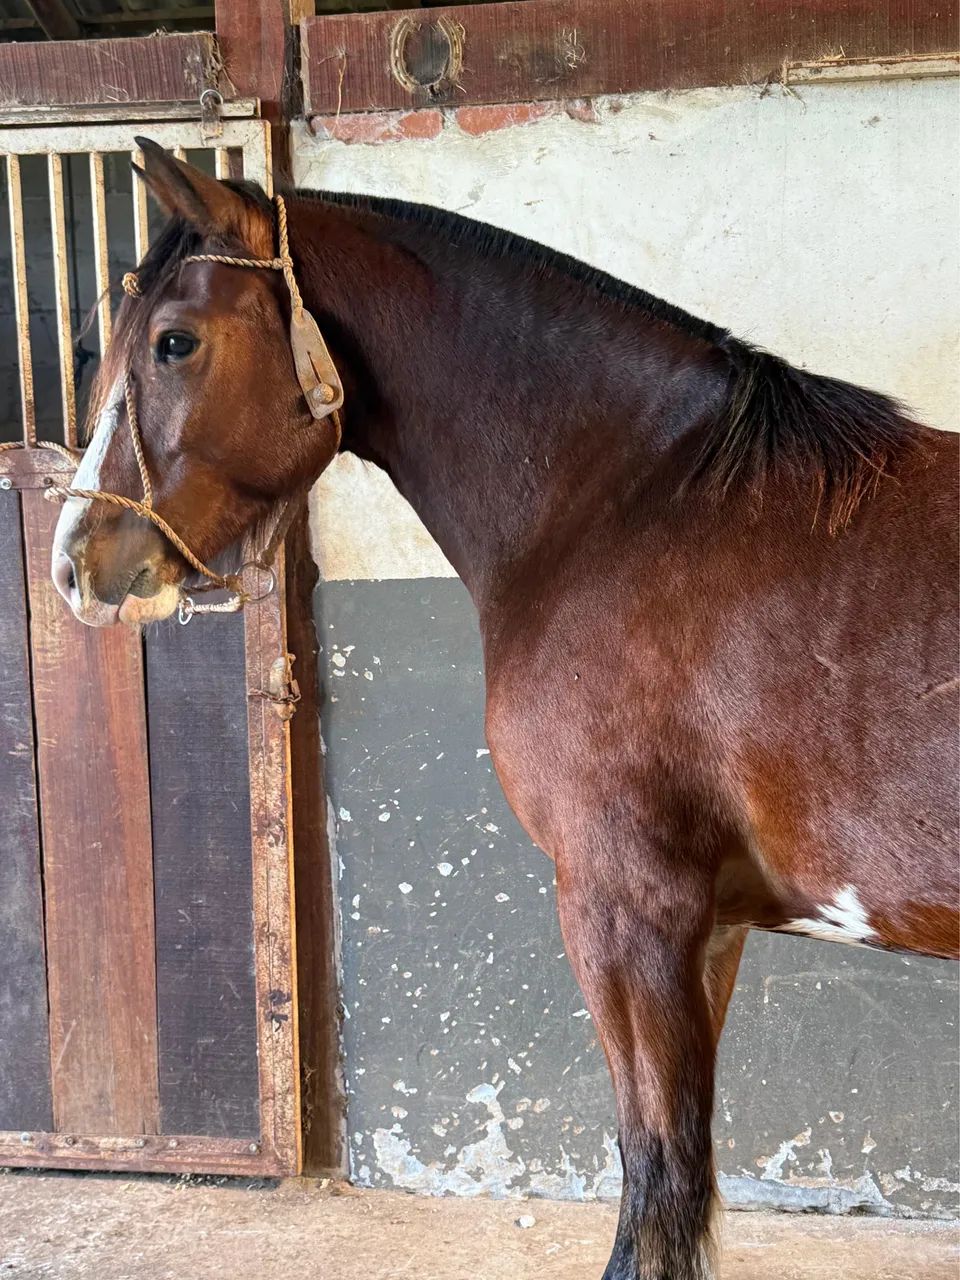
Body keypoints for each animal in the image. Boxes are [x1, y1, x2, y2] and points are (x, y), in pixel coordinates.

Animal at [51, 139, 958, 1280]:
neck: (636, 504)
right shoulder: (706, 925)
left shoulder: (626, 905)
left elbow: (657, 1171)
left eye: (174, 341)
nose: (76, 563)